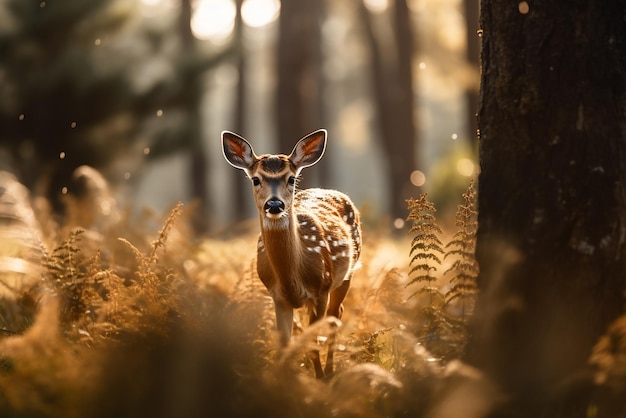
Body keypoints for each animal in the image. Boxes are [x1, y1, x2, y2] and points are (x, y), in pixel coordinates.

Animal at [222, 129, 360, 378]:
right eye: (256, 179)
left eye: (291, 179)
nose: (274, 204)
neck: (291, 276)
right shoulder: (277, 296)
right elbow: (285, 346)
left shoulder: (321, 289)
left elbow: (313, 343)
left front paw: (320, 380)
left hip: (346, 274)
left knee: (336, 316)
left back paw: (331, 371)